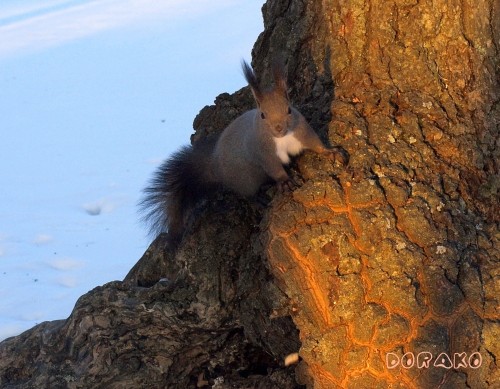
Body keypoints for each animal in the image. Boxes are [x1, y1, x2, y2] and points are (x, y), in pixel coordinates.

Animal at [138, 58, 348, 242]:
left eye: (289, 109)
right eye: (263, 115)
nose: (279, 128)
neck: (283, 139)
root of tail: (216, 168)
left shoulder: (302, 131)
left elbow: (315, 143)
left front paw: (331, 152)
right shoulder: (263, 151)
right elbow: (274, 168)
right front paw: (285, 181)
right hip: (245, 179)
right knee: (246, 194)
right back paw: (257, 200)